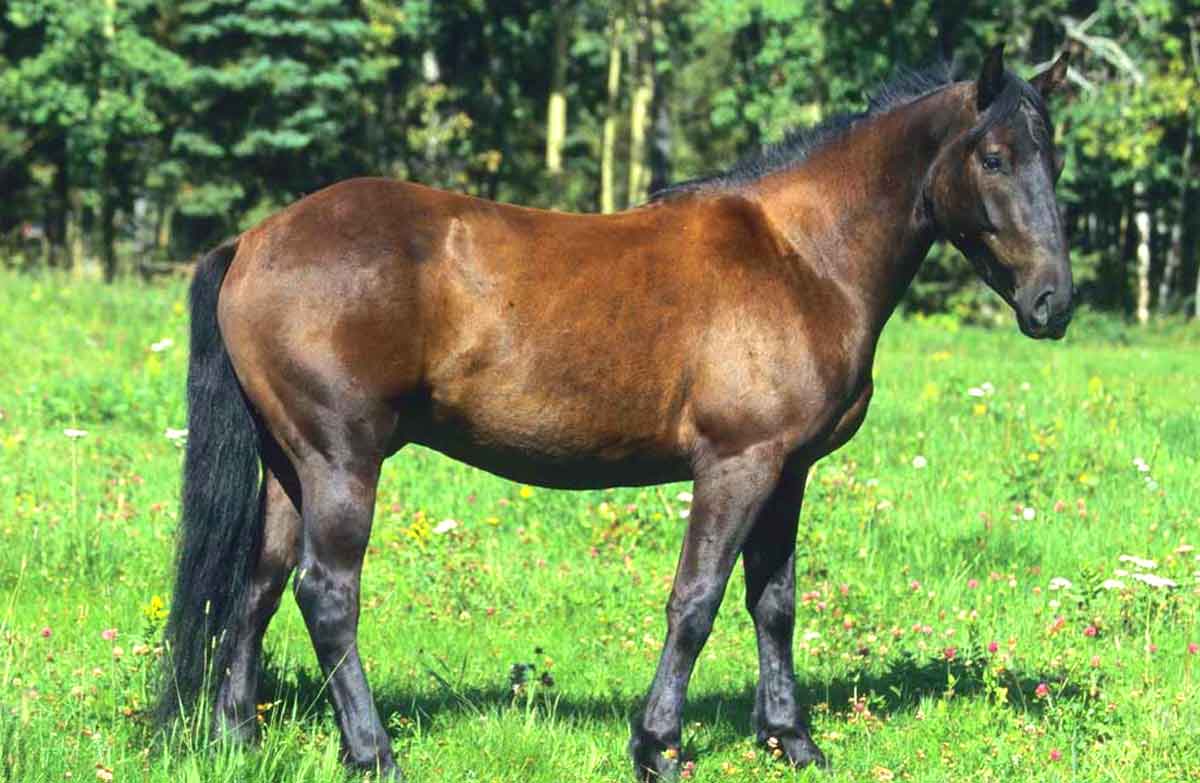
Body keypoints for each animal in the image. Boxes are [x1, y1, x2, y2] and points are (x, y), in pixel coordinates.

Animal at [159, 46, 1072, 781]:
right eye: (995, 157)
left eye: (1054, 159)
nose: (1053, 304)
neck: (801, 256)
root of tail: (253, 240)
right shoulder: (737, 464)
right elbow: (696, 600)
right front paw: (658, 744)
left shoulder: (788, 471)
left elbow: (773, 601)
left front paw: (792, 740)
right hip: (342, 460)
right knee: (326, 593)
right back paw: (373, 751)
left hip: (291, 465)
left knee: (258, 584)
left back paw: (238, 738)